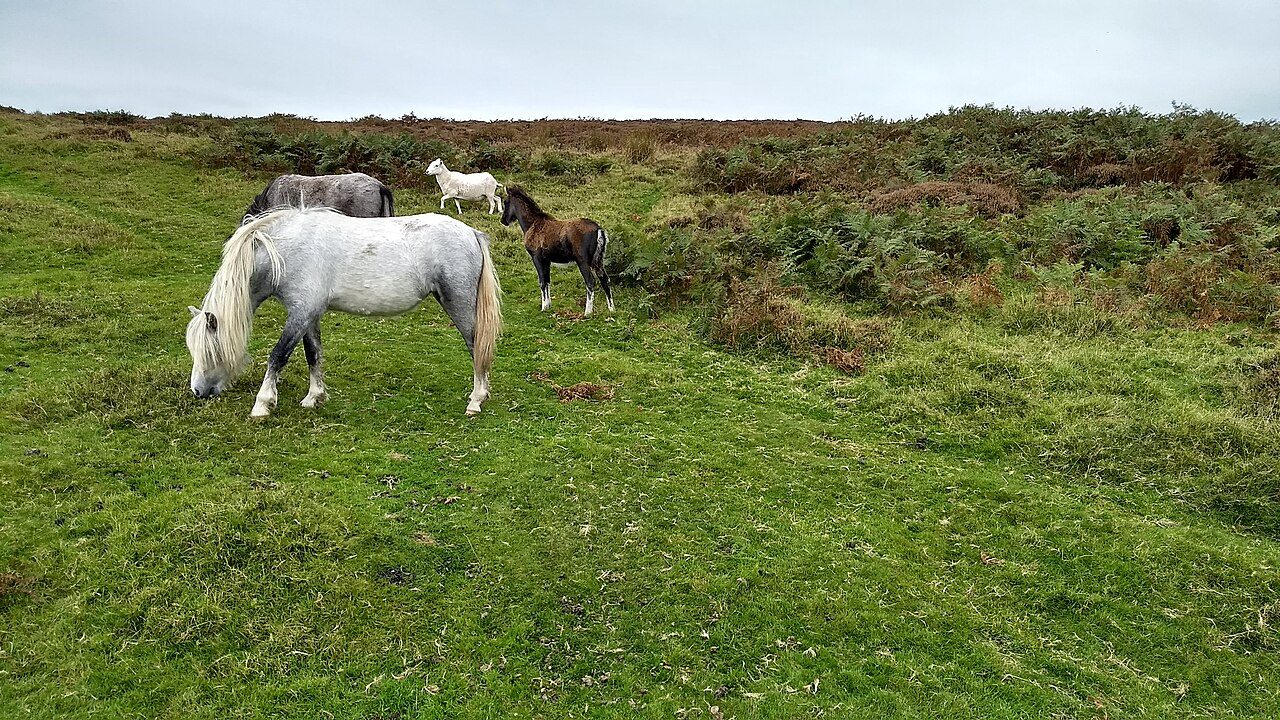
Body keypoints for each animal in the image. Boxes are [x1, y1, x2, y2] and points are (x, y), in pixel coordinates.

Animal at [186, 208, 501, 418]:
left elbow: (278, 356)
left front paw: (262, 404)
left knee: (476, 346)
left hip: (459, 305)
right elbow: (313, 354)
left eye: (210, 350)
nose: (197, 391)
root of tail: (471, 233)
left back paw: (476, 400)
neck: (283, 250)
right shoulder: (309, 314)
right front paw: (314, 397)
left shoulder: (300, 313)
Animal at [500, 185, 613, 315]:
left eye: (506, 202)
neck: (531, 224)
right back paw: (612, 309)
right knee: (605, 280)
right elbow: (547, 281)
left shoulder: (536, 258)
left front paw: (544, 307)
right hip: (598, 261)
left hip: (583, 262)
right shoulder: (546, 260)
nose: (503, 220)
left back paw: (587, 312)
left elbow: (542, 282)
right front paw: (548, 305)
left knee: (590, 282)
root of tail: (599, 230)